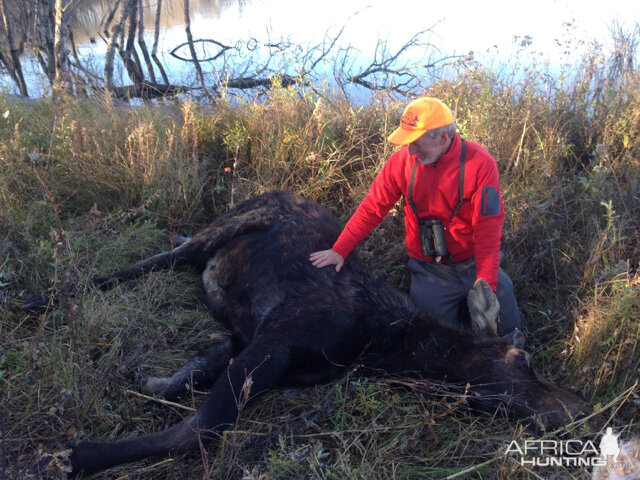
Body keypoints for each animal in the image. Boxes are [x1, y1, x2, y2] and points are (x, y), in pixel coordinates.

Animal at [32, 190, 596, 476]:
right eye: (522, 361)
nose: (582, 411)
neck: (380, 343)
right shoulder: (272, 343)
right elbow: (199, 430)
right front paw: (74, 457)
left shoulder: (247, 342)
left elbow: (184, 378)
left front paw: (142, 380)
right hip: (221, 230)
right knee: (152, 260)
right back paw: (48, 295)